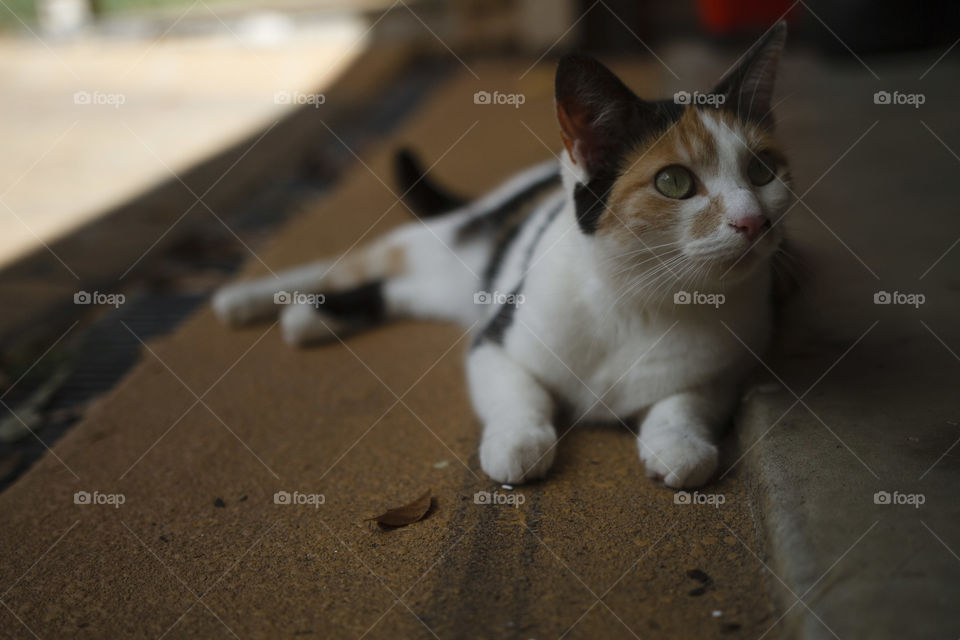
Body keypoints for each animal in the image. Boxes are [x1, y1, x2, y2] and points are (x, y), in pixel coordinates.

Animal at [212, 22, 796, 488]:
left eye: (763, 171)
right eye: (674, 182)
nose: (753, 221)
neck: (641, 299)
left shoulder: (725, 370)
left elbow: (686, 402)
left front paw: (680, 446)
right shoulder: (496, 340)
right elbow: (518, 392)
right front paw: (518, 443)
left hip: (453, 288)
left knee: (399, 290)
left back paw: (313, 317)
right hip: (442, 244)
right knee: (357, 261)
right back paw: (249, 300)